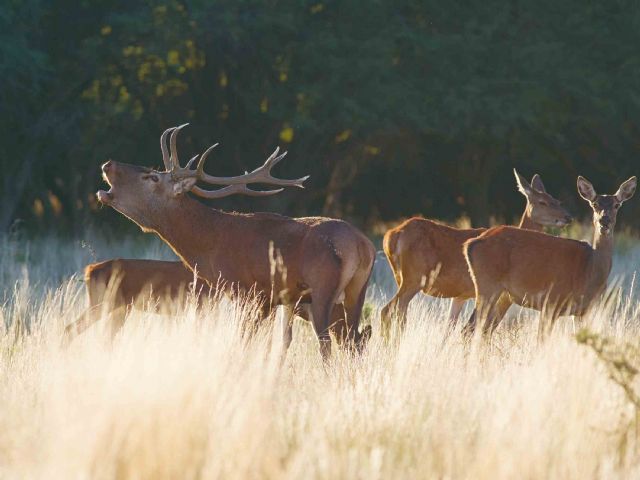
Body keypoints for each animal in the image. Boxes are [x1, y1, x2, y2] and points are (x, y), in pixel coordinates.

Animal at [94, 124, 376, 356]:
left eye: (152, 176)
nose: (107, 164)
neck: (211, 246)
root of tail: (363, 246)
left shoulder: (247, 292)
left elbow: (244, 342)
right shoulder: (275, 299)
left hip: (322, 288)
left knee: (327, 342)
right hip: (357, 290)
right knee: (353, 340)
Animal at [380, 170, 568, 334]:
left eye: (557, 200)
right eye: (542, 202)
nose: (567, 216)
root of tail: (391, 236)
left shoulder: (461, 295)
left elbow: (450, 329)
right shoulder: (496, 293)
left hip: (401, 278)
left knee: (399, 314)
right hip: (415, 277)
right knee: (388, 310)